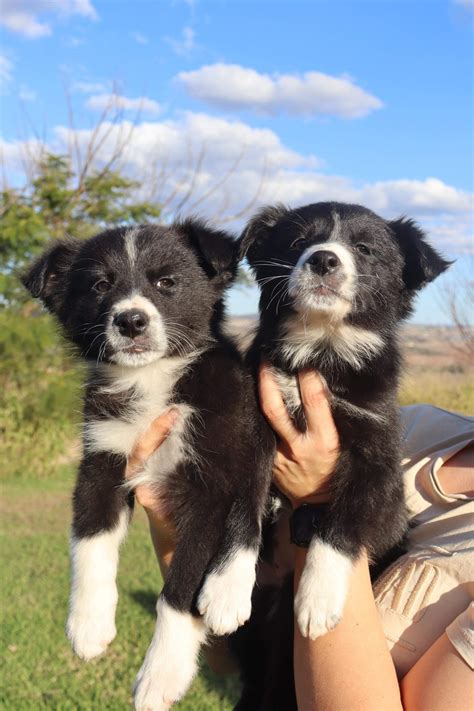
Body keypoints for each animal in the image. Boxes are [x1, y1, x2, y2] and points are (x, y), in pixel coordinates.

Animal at [22, 220, 274, 708]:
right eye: (100, 286)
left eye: (166, 283)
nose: (131, 320)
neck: (152, 379)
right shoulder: (102, 458)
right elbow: (89, 540)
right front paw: (87, 625)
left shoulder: (211, 485)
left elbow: (178, 590)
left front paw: (161, 675)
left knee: (251, 504)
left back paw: (227, 590)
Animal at [239, 202, 450, 644]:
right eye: (298, 242)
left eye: (365, 249)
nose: (323, 259)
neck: (322, 349)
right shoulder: (251, 421)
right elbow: (242, 502)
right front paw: (224, 592)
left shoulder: (377, 455)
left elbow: (344, 521)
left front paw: (317, 601)